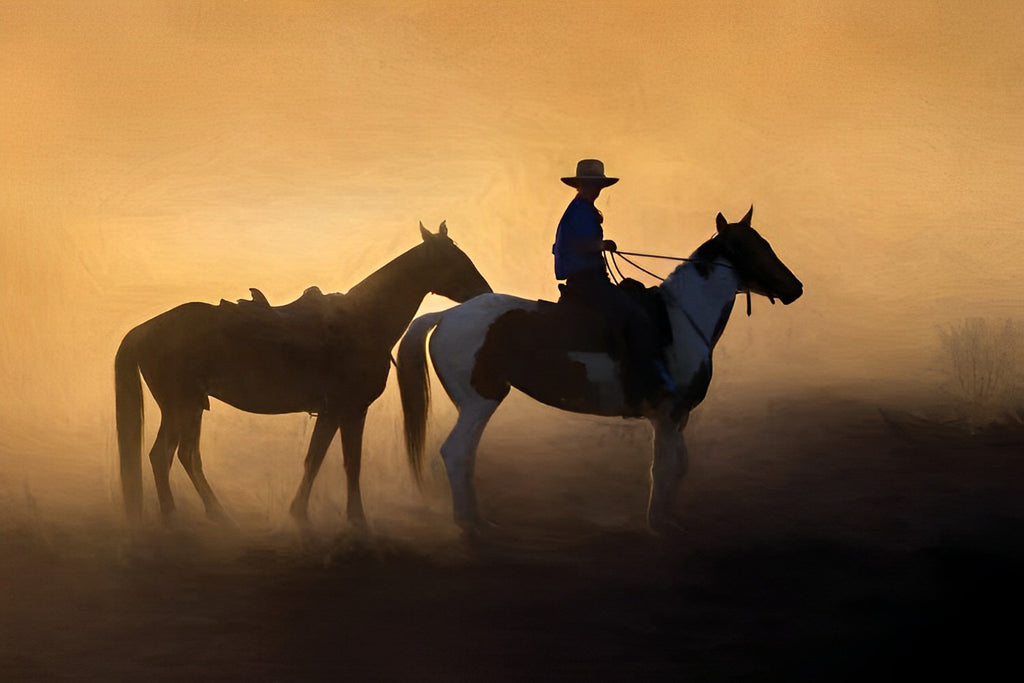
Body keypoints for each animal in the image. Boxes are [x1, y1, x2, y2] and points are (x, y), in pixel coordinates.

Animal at [114, 223, 489, 524]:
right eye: (452, 259)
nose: (484, 293)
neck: (363, 321)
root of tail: (144, 329)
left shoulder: (344, 412)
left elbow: (334, 461)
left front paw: (326, 515)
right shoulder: (344, 409)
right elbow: (327, 461)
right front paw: (337, 518)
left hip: (191, 408)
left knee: (186, 457)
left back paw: (216, 515)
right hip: (180, 407)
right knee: (163, 456)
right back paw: (172, 518)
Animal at [395, 208, 802, 532]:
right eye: (753, 247)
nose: (795, 288)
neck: (679, 318)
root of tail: (446, 315)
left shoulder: (676, 416)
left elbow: (678, 464)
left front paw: (667, 517)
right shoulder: (668, 413)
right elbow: (665, 466)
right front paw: (659, 523)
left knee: (465, 456)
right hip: (480, 401)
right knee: (457, 453)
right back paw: (472, 524)